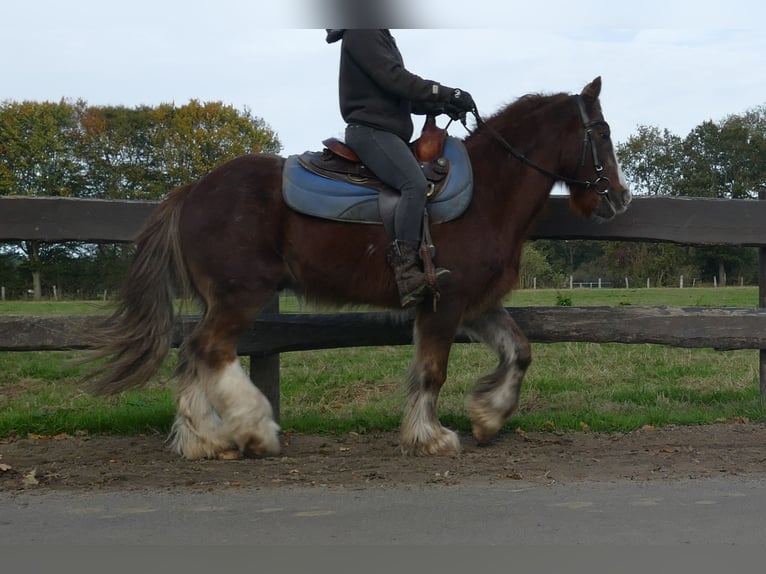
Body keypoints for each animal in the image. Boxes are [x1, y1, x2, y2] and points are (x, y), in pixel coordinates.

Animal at [87, 77, 632, 464]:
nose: (620, 198)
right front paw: (430, 437)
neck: (488, 191)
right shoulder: (444, 305)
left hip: (220, 299)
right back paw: (254, 430)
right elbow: (432, 371)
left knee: (191, 356)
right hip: (240, 294)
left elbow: (519, 351)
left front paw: (487, 416)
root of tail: (192, 191)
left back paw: (203, 441)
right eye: (602, 132)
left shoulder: (475, 304)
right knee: (209, 350)